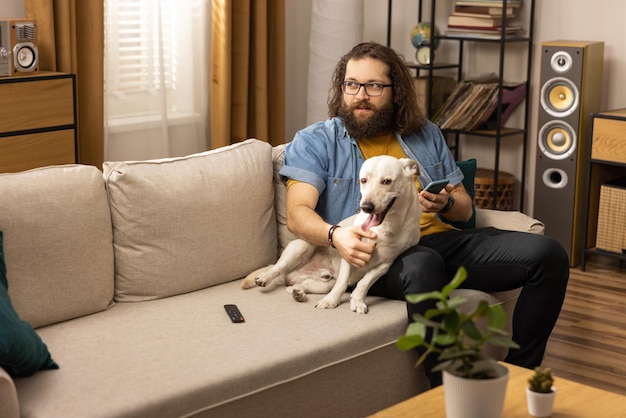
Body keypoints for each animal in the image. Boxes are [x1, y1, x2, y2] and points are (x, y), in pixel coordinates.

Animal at [241, 157, 422, 314]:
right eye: (363, 180)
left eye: (386, 181)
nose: (366, 207)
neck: (386, 227)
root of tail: (291, 275)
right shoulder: (349, 252)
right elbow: (342, 283)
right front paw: (331, 301)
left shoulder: (385, 263)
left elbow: (365, 282)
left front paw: (357, 300)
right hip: (300, 247)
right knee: (277, 267)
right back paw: (265, 277)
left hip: (322, 284)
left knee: (293, 287)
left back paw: (299, 292)